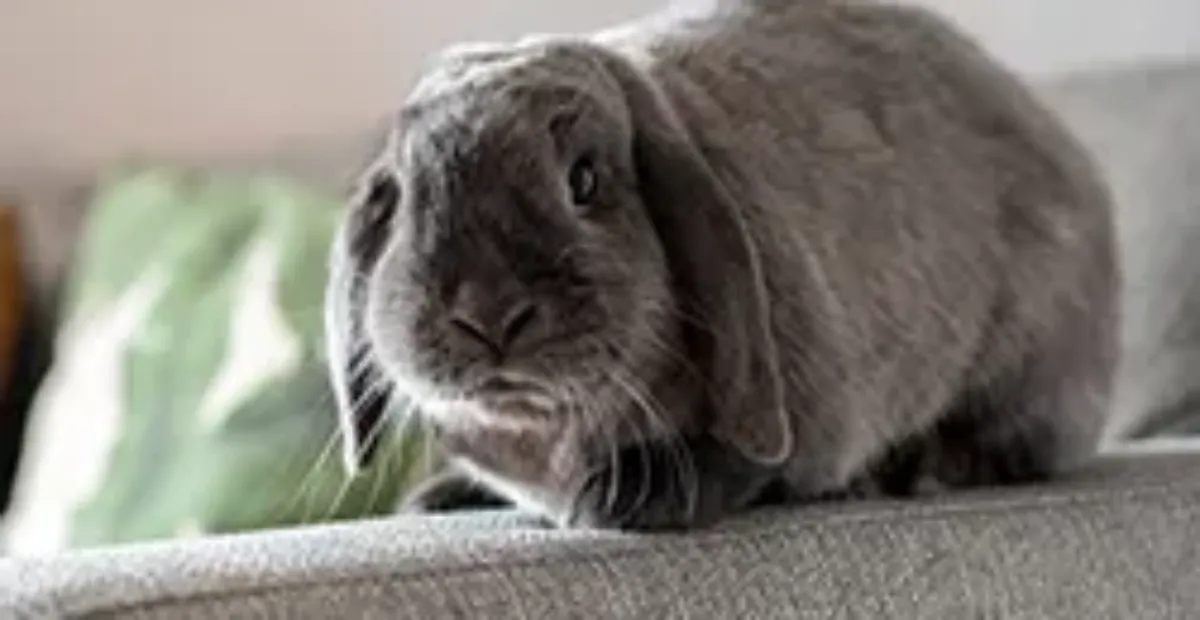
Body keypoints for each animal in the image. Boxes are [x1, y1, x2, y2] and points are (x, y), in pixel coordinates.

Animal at [324, 0, 1120, 530]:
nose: (487, 313)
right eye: (404, 199)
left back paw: (920, 471)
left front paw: (621, 498)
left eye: (584, 180)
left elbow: (743, 463)